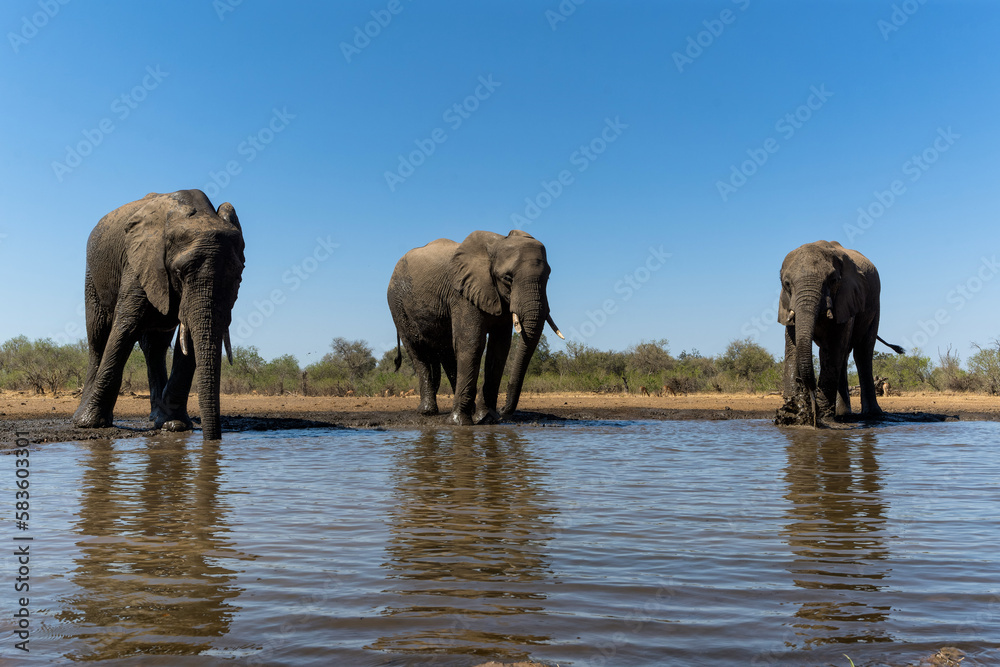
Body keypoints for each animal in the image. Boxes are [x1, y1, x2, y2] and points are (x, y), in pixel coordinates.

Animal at [72, 189, 245, 440]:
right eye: (180, 272)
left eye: (237, 275)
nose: (213, 442)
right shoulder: (139, 262)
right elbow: (125, 328)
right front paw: (90, 424)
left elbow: (187, 341)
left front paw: (175, 426)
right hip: (93, 274)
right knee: (98, 336)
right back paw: (82, 417)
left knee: (155, 346)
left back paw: (157, 417)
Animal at [387, 230, 563, 425]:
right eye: (508, 278)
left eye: (548, 276)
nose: (503, 411)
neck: (496, 244)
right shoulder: (462, 294)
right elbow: (472, 343)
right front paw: (459, 423)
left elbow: (499, 348)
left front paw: (486, 419)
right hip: (397, 304)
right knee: (417, 350)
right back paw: (427, 412)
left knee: (447, 352)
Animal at [777, 240, 903, 426]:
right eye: (786, 283)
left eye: (833, 281)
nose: (809, 393)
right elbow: (792, 349)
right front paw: (793, 414)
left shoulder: (846, 298)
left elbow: (833, 349)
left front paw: (822, 419)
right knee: (844, 356)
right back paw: (843, 414)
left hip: (874, 304)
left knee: (862, 352)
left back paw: (871, 415)